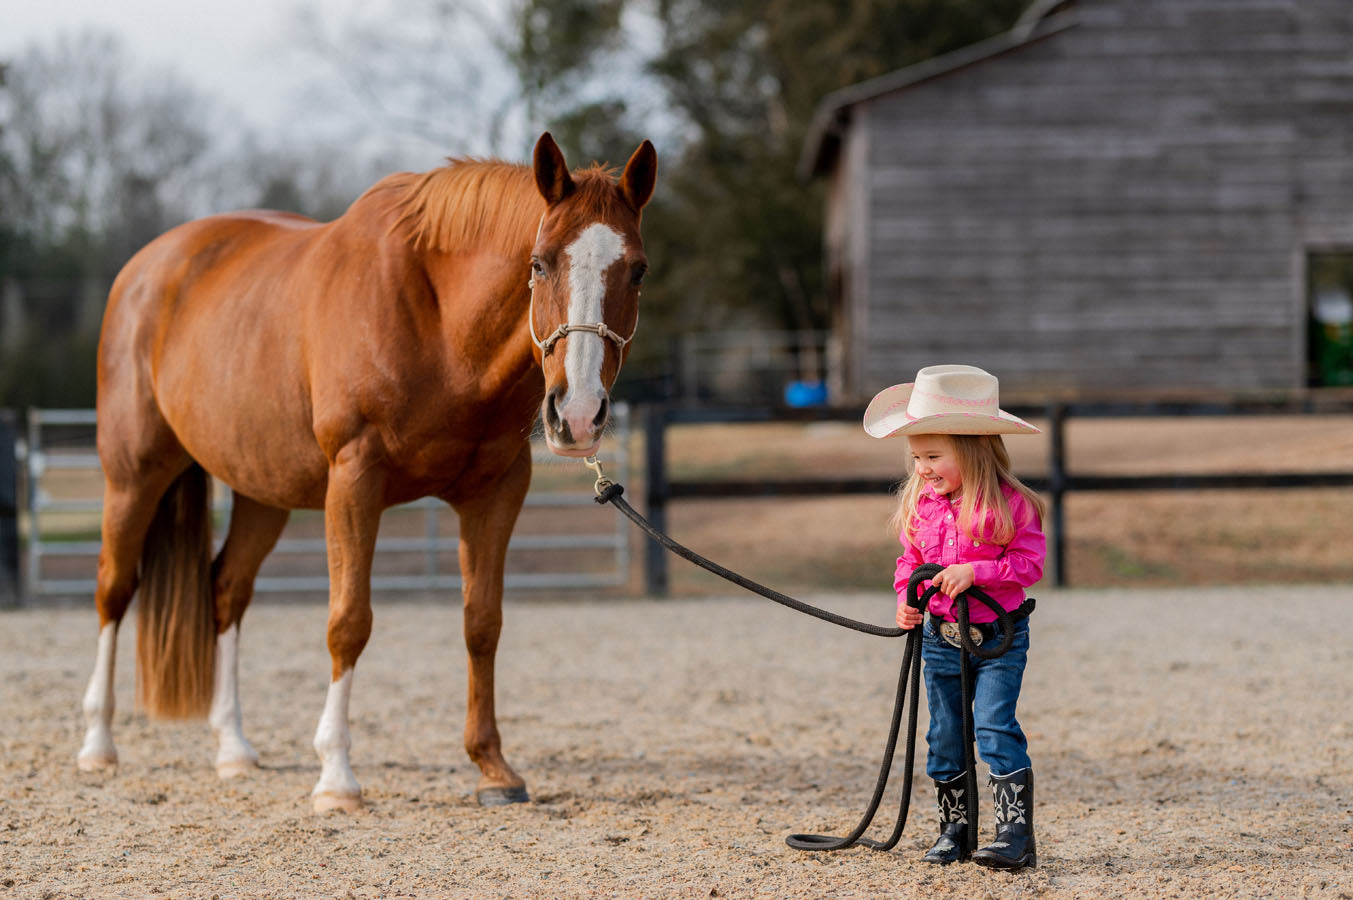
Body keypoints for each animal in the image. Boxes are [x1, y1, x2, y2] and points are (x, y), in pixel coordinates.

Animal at [76, 135, 657, 812]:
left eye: (638, 270)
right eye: (538, 264)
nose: (579, 414)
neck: (437, 321)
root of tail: (145, 268)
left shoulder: (497, 492)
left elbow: (482, 622)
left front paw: (493, 768)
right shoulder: (354, 480)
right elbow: (349, 622)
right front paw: (336, 777)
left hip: (260, 491)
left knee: (226, 589)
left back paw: (233, 749)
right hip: (133, 475)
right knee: (114, 587)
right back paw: (98, 743)